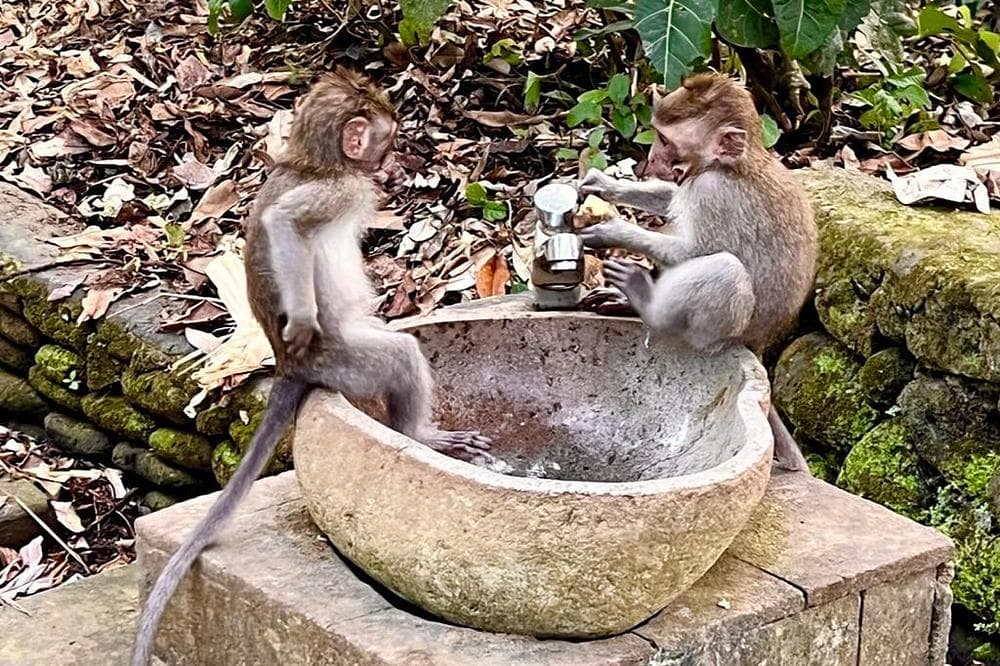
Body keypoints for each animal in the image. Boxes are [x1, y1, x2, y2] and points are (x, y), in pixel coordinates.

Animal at [131, 69, 490, 666]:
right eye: (388, 139)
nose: (396, 162)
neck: (312, 162)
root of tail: (287, 369)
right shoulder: (341, 190)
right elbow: (285, 223)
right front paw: (300, 316)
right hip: (343, 361)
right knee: (398, 354)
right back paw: (419, 434)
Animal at [577, 72, 816, 474]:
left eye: (665, 140)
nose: (650, 161)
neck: (733, 164)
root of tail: (759, 343)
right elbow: (671, 199)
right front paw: (608, 186)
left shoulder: (709, 190)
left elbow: (695, 251)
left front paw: (615, 229)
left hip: (723, 333)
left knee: (725, 269)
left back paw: (646, 305)